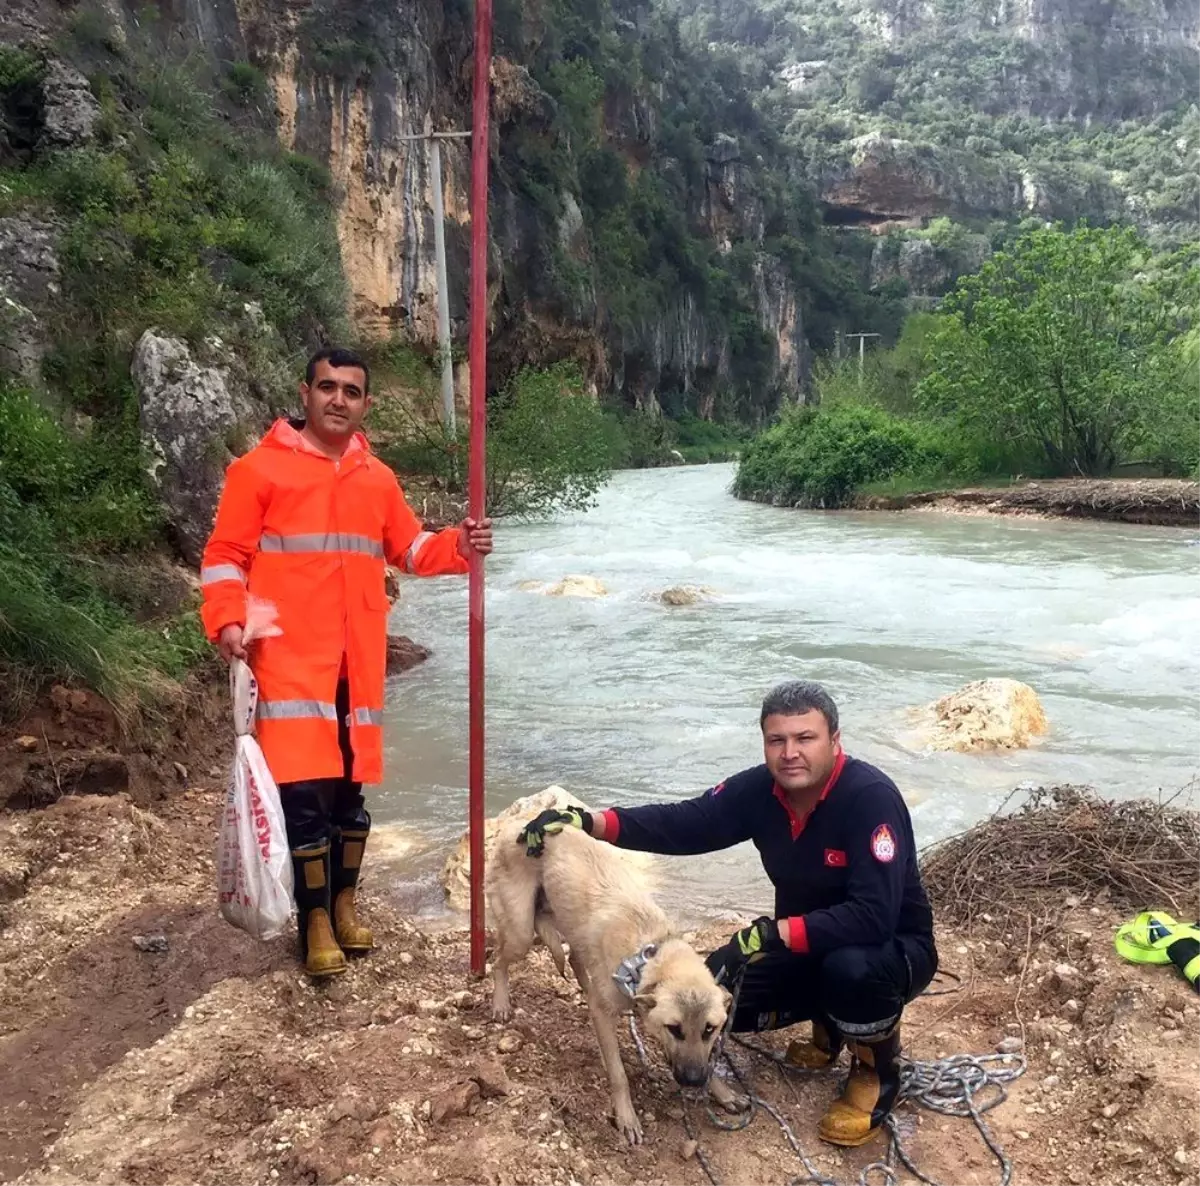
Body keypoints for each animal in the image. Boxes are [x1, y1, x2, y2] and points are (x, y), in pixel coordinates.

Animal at [487, 821, 729, 1142]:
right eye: (674, 1029)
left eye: (709, 1029)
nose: (692, 1081)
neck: (648, 954)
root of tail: (514, 825)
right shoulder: (605, 1015)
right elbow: (618, 1074)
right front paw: (626, 1117)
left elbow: (709, 1059)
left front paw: (722, 1090)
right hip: (521, 932)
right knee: (498, 960)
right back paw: (500, 1003)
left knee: (575, 962)